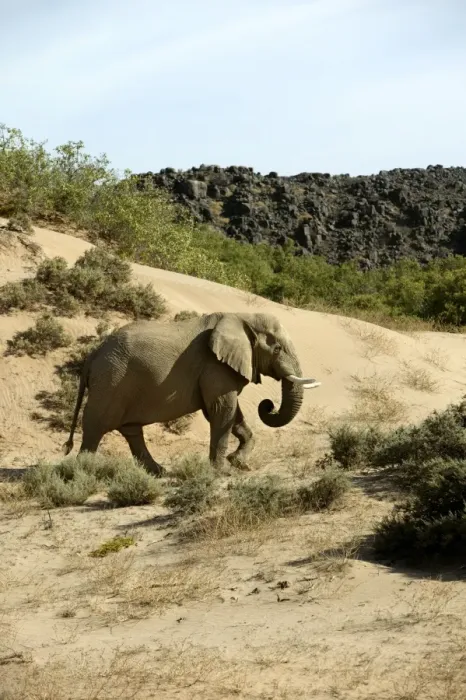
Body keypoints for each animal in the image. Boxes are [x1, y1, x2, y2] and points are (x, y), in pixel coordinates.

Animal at [63, 311, 321, 476]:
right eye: (277, 349)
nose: (268, 405)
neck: (243, 316)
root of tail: (93, 354)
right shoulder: (215, 366)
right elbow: (221, 410)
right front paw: (221, 472)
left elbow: (228, 412)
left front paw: (239, 464)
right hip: (111, 380)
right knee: (96, 426)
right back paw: (82, 472)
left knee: (131, 430)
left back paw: (159, 473)